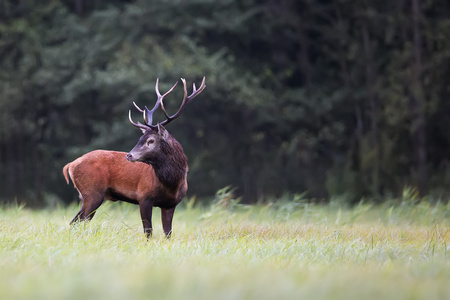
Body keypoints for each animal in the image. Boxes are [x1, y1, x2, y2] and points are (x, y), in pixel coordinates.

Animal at [62, 77, 207, 239]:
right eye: (140, 138)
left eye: (151, 140)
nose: (129, 155)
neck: (172, 183)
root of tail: (70, 165)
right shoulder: (144, 196)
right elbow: (148, 231)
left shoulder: (171, 204)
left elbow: (168, 233)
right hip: (92, 193)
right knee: (79, 222)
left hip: (86, 196)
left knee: (74, 223)